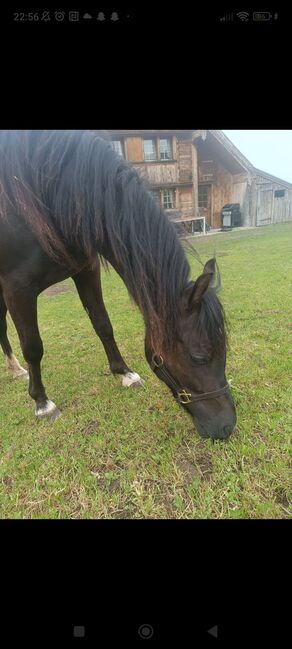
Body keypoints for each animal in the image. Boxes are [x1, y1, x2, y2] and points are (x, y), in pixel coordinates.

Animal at [0, 129, 236, 438]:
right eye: (199, 357)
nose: (227, 425)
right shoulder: (18, 288)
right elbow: (33, 346)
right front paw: (42, 403)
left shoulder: (86, 271)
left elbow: (103, 325)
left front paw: (124, 373)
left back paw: (15, 369)